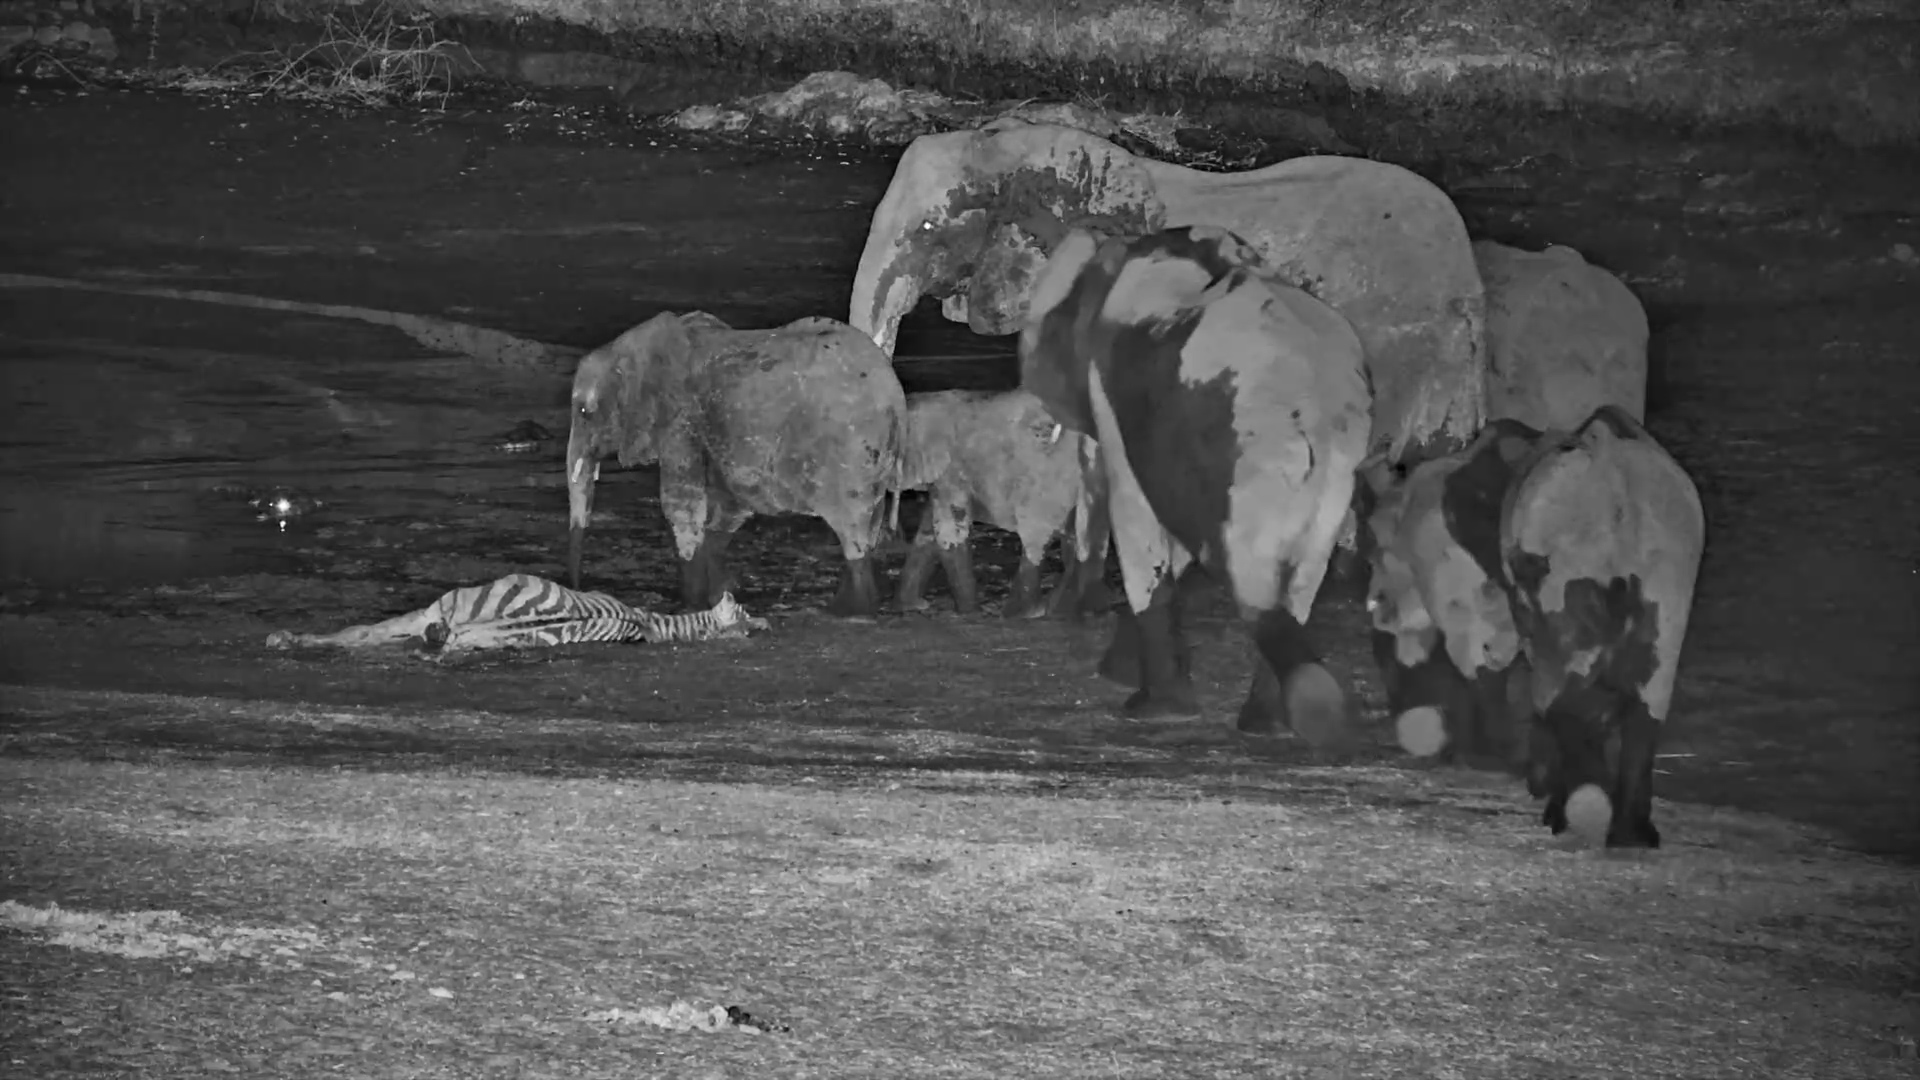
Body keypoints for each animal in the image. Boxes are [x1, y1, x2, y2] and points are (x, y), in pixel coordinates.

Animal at [566, 311, 907, 618]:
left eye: (584, 411)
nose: (578, 589)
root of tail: (896, 399)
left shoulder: (680, 423)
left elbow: (682, 505)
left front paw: (691, 606)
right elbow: (728, 507)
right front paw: (718, 597)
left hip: (849, 454)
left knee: (851, 528)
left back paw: (853, 611)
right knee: (869, 524)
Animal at [893, 388, 1112, 619]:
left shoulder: (952, 471)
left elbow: (951, 532)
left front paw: (970, 614)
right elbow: (927, 535)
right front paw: (912, 607)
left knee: (1038, 533)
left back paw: (1023, 613)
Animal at [1020, 224, 1373, 747]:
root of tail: (1312, 408)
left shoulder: (1112, 394)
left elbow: (1138, 516)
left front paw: (1152, 710)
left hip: (1256, 455)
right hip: (1335, 468)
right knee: (1296, 579)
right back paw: (1278, 720)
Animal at [1363, 406, 1704, 848]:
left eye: (1375, 555)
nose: (1375, 603)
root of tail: (1617, 482)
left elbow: (1482, 661)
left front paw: (1492, 762)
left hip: (1563, 576)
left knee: (1567, 686)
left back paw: (1574, 812)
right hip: (1670, 579)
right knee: (1648, 694)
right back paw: (1631, 835)